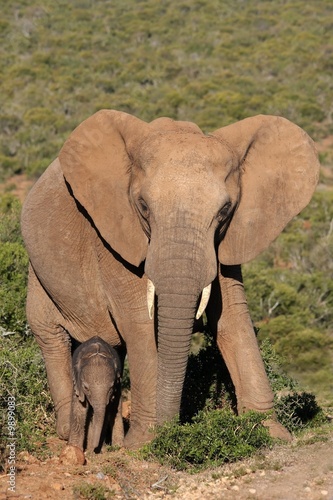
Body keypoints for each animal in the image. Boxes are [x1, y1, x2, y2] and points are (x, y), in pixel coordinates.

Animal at [21, 110, 320, 450]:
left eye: (225, 210)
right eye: (143, 207)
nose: (174, 429)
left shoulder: (225, 240)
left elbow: (232, 316)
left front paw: (269, 433)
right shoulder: (112, 235)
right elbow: (139, 321)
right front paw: (145, 443)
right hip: (38, 272)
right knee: (51, 336)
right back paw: (66, 432)